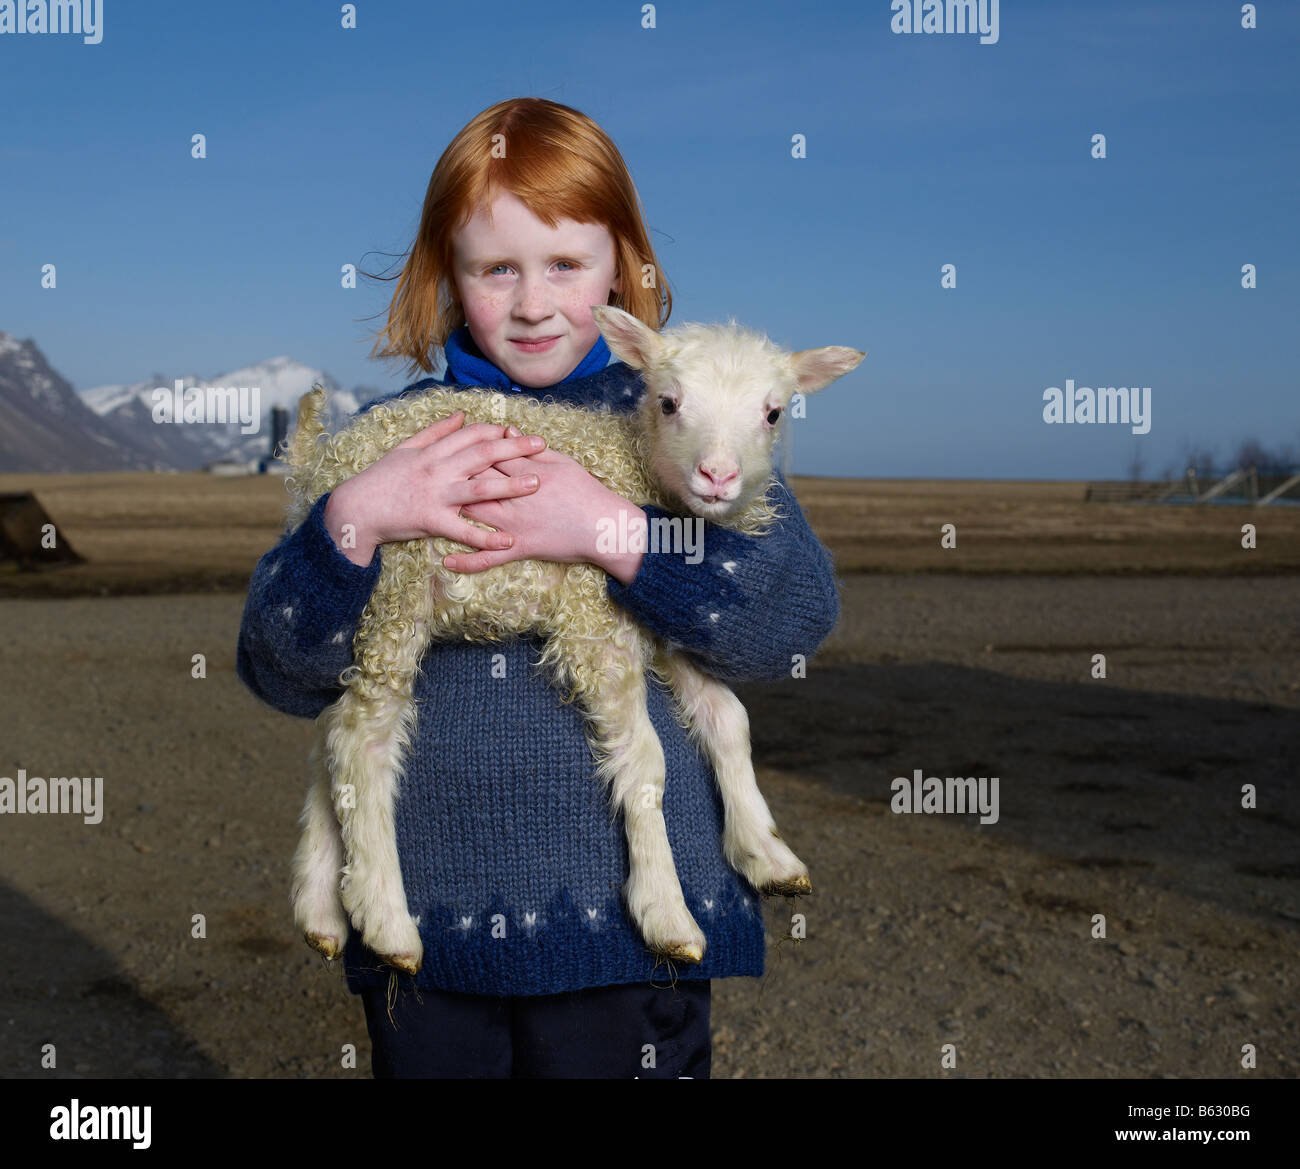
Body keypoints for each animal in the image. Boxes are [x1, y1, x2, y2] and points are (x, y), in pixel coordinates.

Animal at [289, 306, 868, 972]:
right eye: (668, 402)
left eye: (773, 414)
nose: (717, 476)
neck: (638, 470)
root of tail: (324, 460)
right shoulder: (596, 620)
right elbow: (647, 761)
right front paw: (666, 910)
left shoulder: (665, 621)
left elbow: (728, 720)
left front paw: (766, 854)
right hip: (396, 592)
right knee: (361, 742)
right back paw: (385, 921)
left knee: (327, 738)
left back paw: (321, 906)